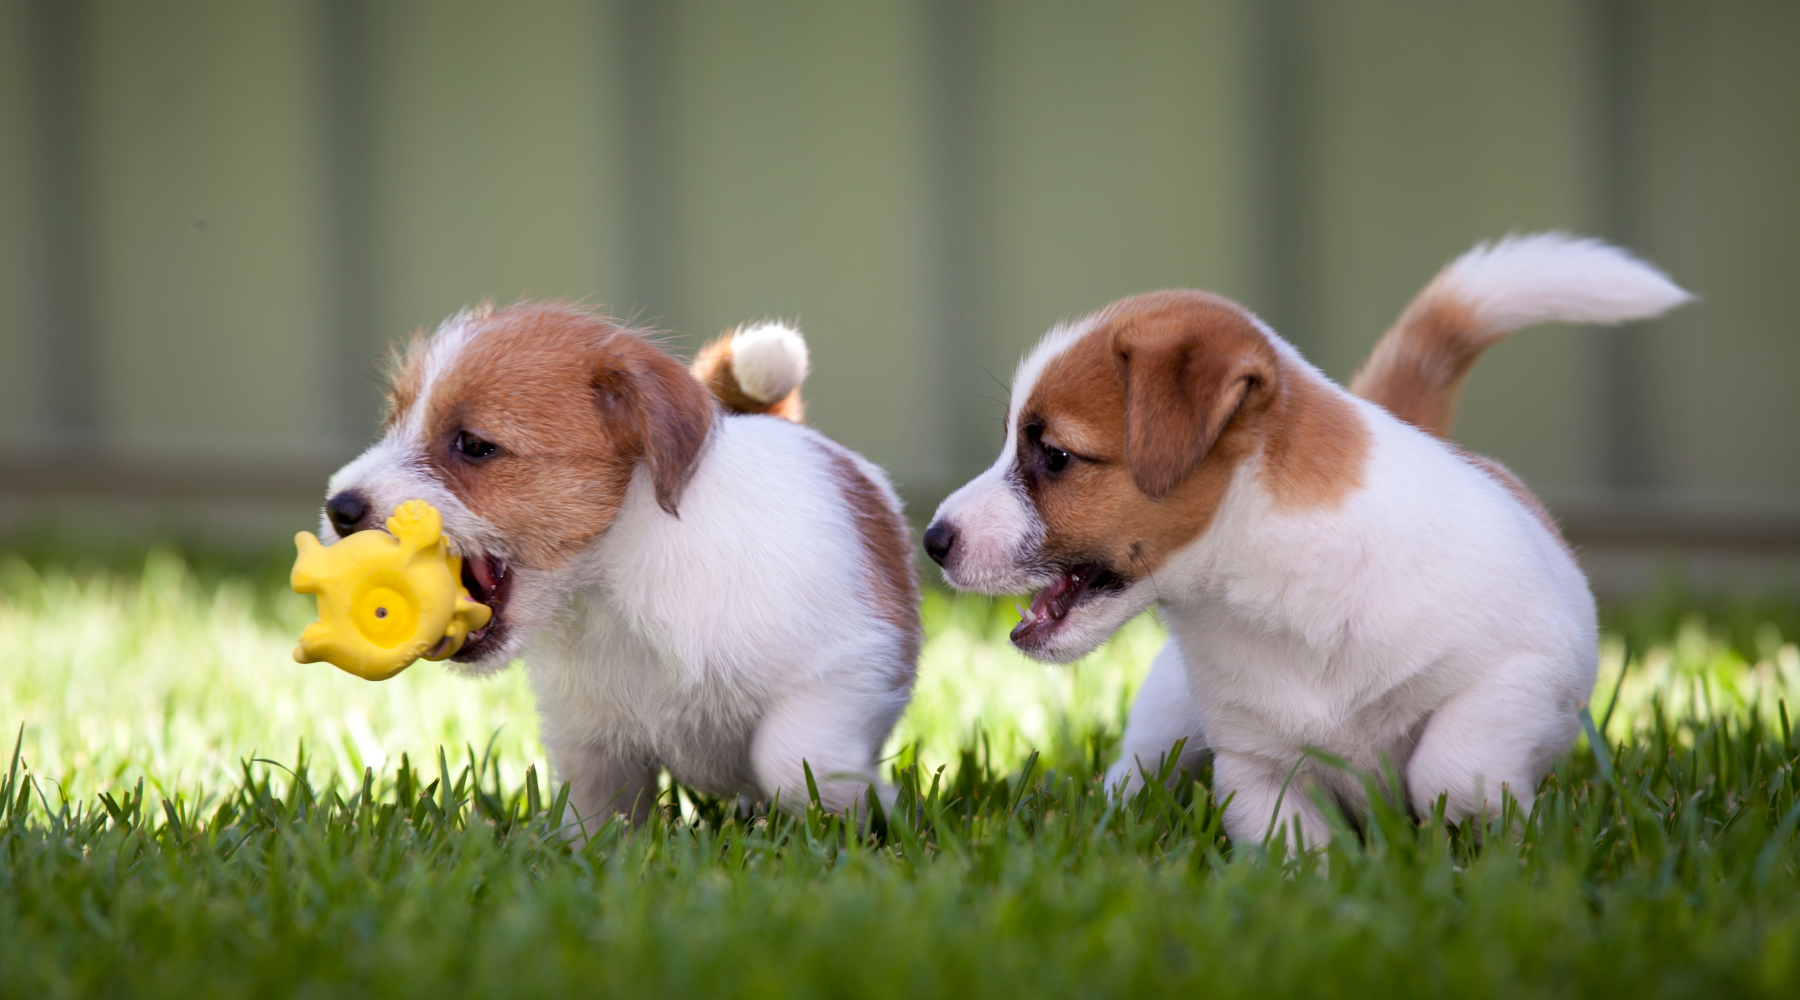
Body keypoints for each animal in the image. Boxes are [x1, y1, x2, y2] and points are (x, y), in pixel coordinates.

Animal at [320, 309, 928, 830]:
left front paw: (871, 807)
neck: (612, 588)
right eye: (393, 424)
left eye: (472, 444)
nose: (339, 508)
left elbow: (792, 759)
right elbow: (594, 817)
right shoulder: (589, 742)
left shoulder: (849, 670)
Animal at [921, 233, 1692, 845]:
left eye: (1053, 455)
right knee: (1134, 770)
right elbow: (1296, 855)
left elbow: (1449, 766)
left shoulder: (1527, 673)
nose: (931, 540)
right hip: (1168, 717)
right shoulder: (1259, 768)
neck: (1274, 585)